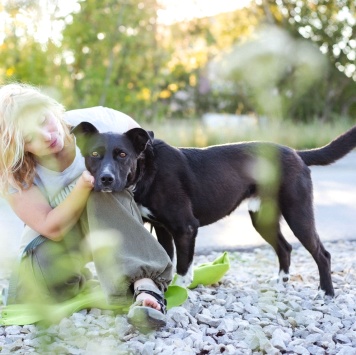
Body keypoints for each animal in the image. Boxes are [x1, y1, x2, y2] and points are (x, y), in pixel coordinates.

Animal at [72, 123, 356, 298]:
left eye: (122, 154)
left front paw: (180, 293)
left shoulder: (186, 228)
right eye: (95, 154)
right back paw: (280, 283)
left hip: (298, 213)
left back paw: (326, 292)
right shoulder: (163, 229)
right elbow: (166, 262)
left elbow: (183, 268)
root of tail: (297, 153)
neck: (147, 169)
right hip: (262, 218)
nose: (106, 179)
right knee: (284, 247)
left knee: (322, 253)